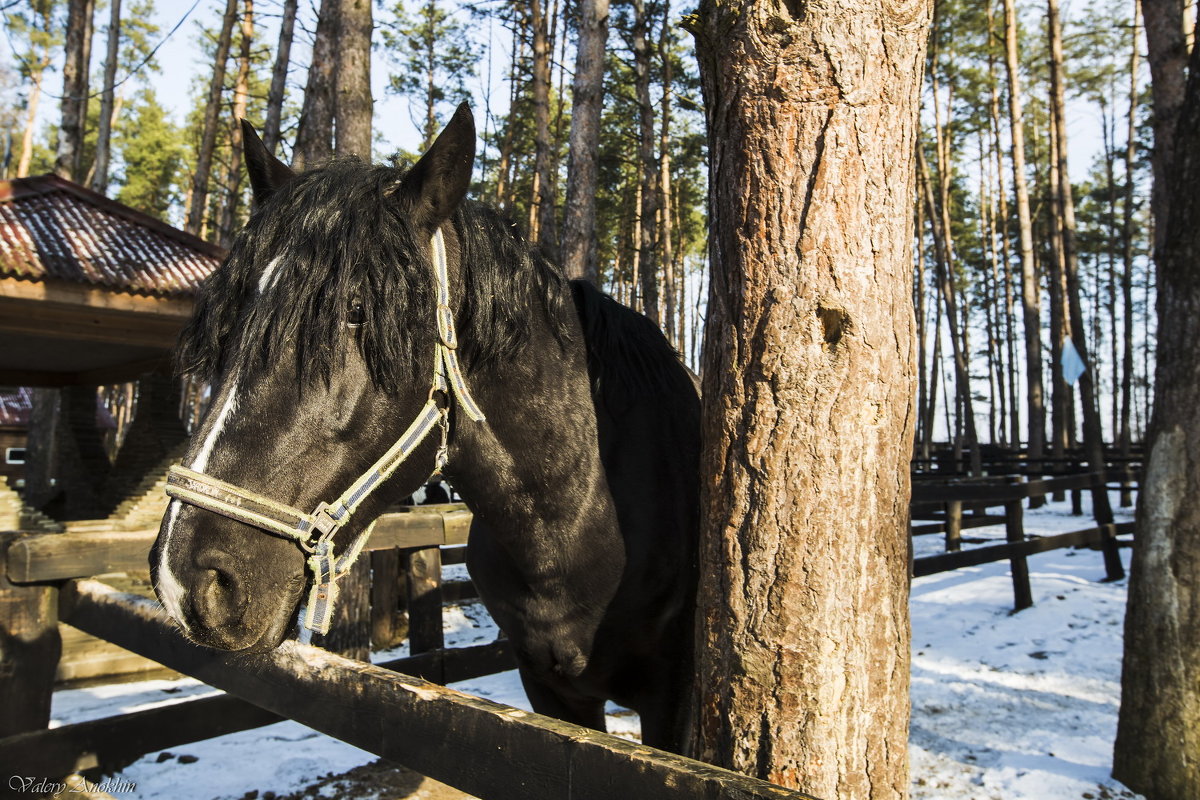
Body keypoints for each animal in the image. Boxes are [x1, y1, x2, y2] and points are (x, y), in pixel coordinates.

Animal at [147, 104, 700, 753]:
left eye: (356, 312)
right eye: (232, 324)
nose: (187, 580)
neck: (586, 522)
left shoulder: (672, 701)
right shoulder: (549, 688)